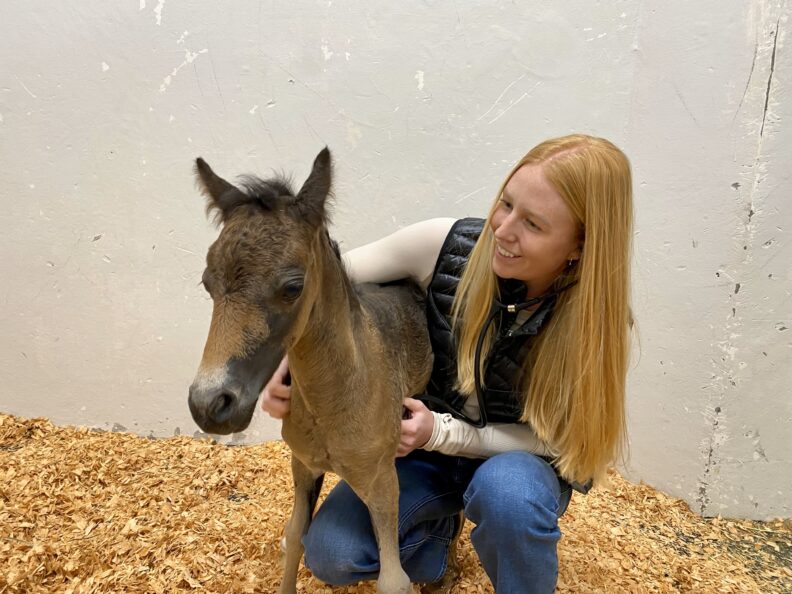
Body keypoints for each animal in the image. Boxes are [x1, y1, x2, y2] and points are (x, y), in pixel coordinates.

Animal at [187, 148, 437, 594]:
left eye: (293, 287)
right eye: (206, 282)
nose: (209, 405)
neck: (332, 398)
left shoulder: (382, 481)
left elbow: (394, 579)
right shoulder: (302, 465)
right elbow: (294, 537)